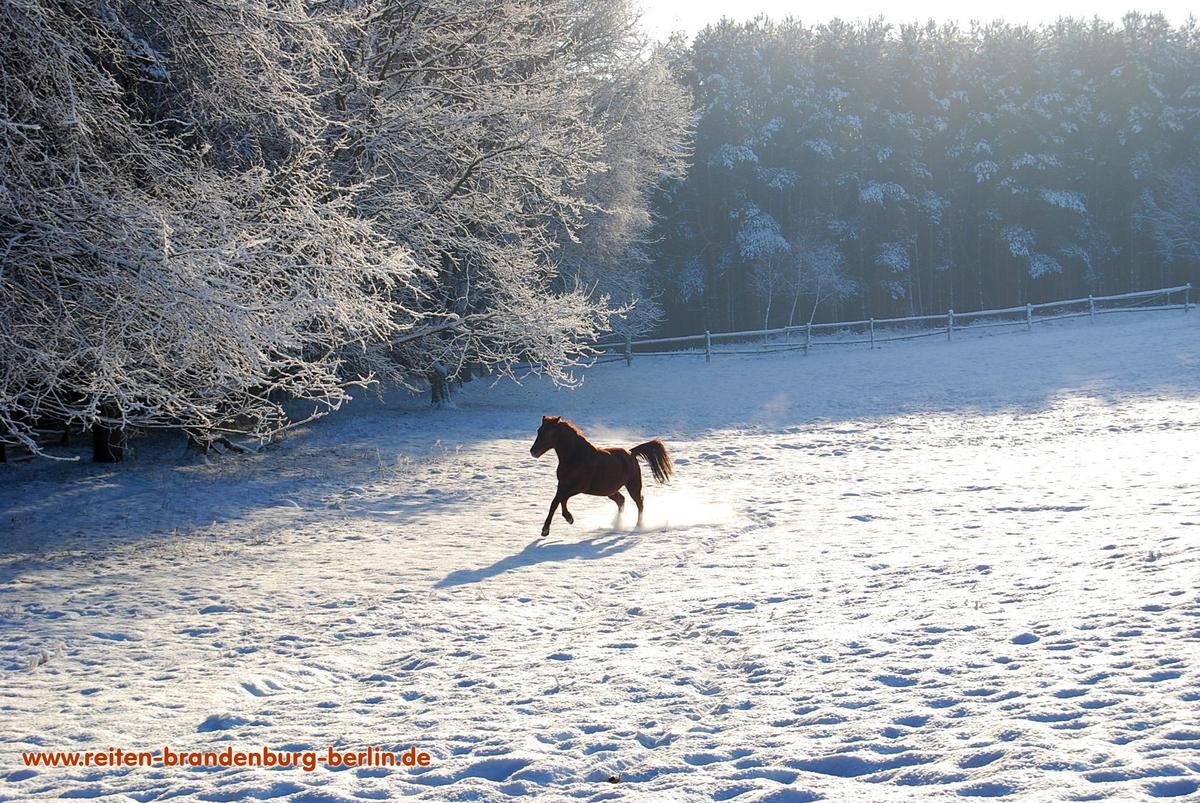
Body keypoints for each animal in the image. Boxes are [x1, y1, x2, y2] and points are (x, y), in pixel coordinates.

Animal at [528, 417, 672, 535]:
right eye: (539, 430)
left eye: (549, 433)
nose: (533, 451)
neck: (576, 457)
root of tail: (631, 453)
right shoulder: (562, 484)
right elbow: (555, 502)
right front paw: (545, 530)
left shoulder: (579, 487)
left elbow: (562, 499)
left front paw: (569, 518)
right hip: (609, 490)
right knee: (621, 500)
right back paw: (616, 523)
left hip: (633, 486)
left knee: (639, 502)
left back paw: (638, 526)